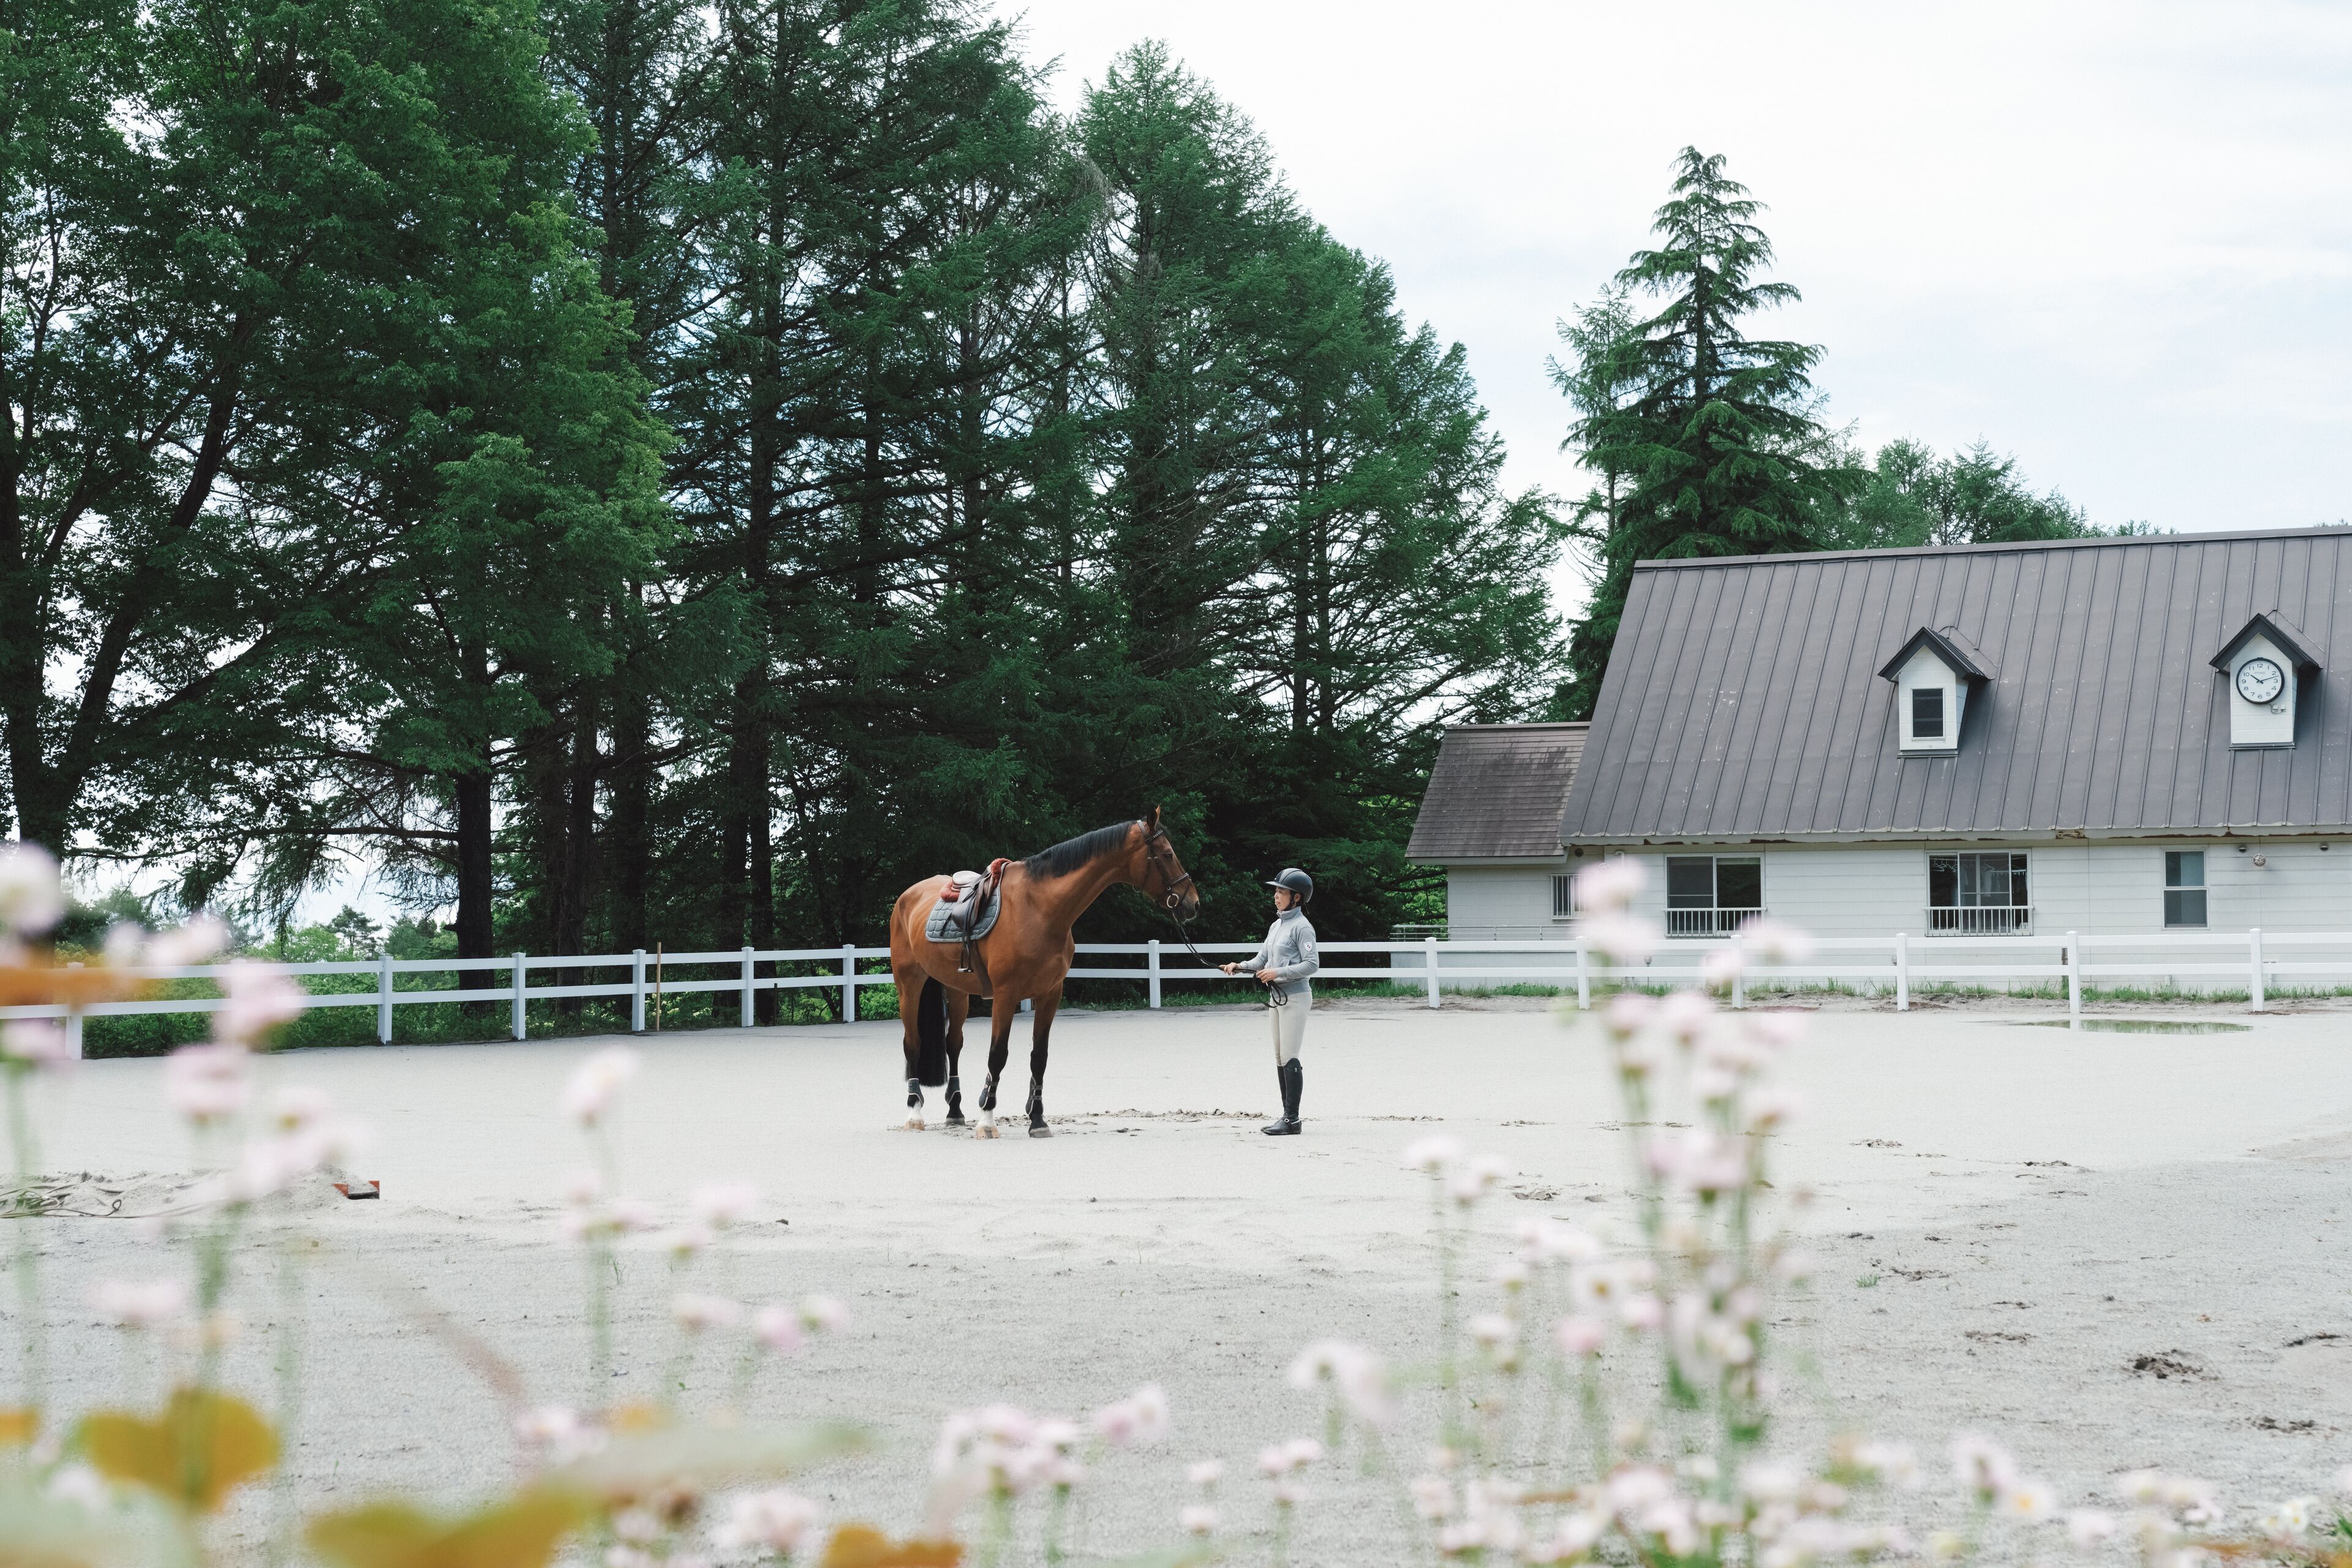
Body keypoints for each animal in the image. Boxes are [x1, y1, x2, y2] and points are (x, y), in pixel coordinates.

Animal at [887, 809, 1202, 1139]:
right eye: (1167, 854)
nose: (1193, 903)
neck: (1039, 907)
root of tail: (907, 898)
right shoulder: (1005, 996)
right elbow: (997, 1055)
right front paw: (987, 1119)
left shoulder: (1050, 994)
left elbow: (1039, 1057)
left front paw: (1037, 1120)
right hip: (909, 985)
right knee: (913, 1044)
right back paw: (914, 1113)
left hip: (957, 990)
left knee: (954, 1044)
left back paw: (955, 1111)